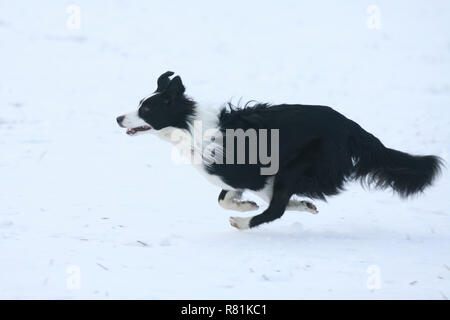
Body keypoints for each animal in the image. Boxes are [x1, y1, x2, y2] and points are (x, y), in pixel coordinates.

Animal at [117, 71, 442, 229]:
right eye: (140, 104)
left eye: (146, 109)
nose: (118, 118)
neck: (189, 124)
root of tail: (351, 126)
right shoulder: (241, 179)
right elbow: (225, 198)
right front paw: (251, 205)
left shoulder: (255, 174)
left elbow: (267, 203)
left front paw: (246, 212)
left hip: (298, 165)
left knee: (275, 210)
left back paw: (243, 224)